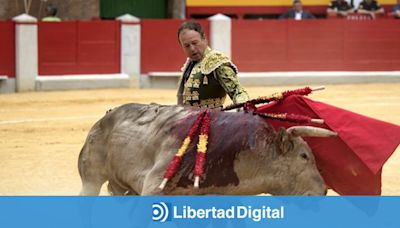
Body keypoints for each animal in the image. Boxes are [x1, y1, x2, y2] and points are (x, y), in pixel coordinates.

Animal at [77, 102, 334, 195]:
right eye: (304, 156)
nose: (323, 191)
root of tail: (103, 119)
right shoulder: (154, 186)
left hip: (121, 186)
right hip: (91, 177)